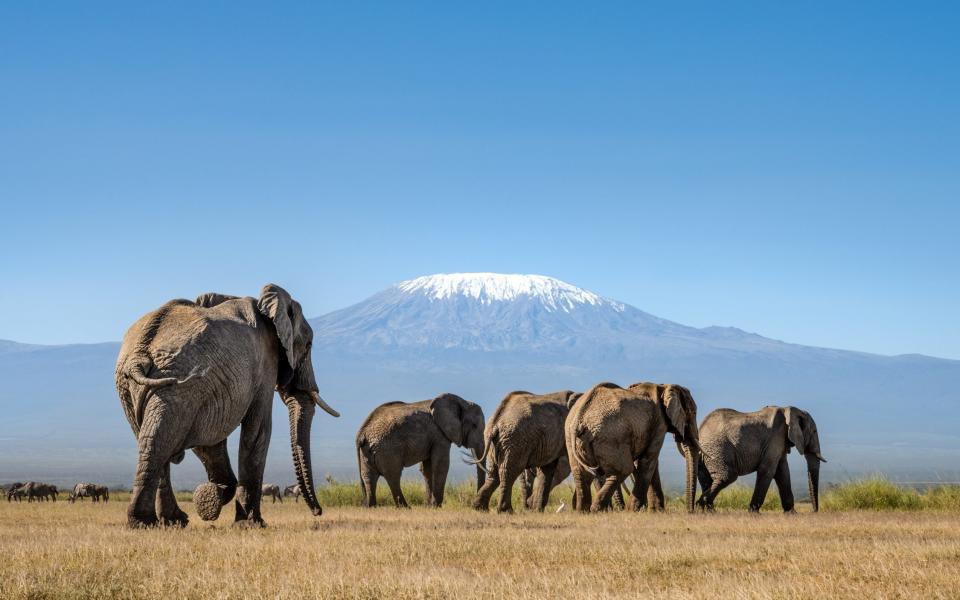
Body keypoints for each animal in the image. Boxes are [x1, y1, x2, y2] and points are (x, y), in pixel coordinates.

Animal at [114, 284, 340, 528]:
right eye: (308, 345)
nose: (318, 512)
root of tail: (140, 352)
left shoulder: (208, 387)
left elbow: (209, 442)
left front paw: (210, 498)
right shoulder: (264, 364)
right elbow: (258, 430)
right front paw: (251, 524)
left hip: (142, 387)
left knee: (152, 438)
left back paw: (171, 521)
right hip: (174, 383)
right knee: (160, 440)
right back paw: (147, 522)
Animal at [354, 392, 484, 508]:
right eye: (474, 425)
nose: (475, 506)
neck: (461, 401)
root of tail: (361, 433)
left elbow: (427, 468)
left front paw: (429, 506)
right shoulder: (439, 434)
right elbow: (441, 465)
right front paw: (436, 506)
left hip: (366, 451)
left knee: (369, 477)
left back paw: (370, 506)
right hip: (387, 449)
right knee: (393, 475)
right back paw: (405, 507)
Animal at [568, 382, 700, 512]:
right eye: (693, 413)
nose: (690, 511)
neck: (664, 386)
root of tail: (580, 418)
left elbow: (649, 462)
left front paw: (655, 511)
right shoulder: (659, 423)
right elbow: (648, 460)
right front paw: (634, 510)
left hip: (573, 440)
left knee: (581, 474)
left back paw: (583, 512)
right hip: (611, 437)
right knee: (624, 469)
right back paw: (597, 509)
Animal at [692, 404, 828, 510]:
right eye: (814, 431)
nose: (814, 511)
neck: (790, 409)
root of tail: (701, 429)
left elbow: (783, 472)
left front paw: (792, 514)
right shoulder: (776, 437)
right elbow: (768, 470)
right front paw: (753, 512)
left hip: (706, 454)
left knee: (707, 479)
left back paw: (707, 509)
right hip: (717, 449)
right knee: (727, 476)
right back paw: (701, 507)